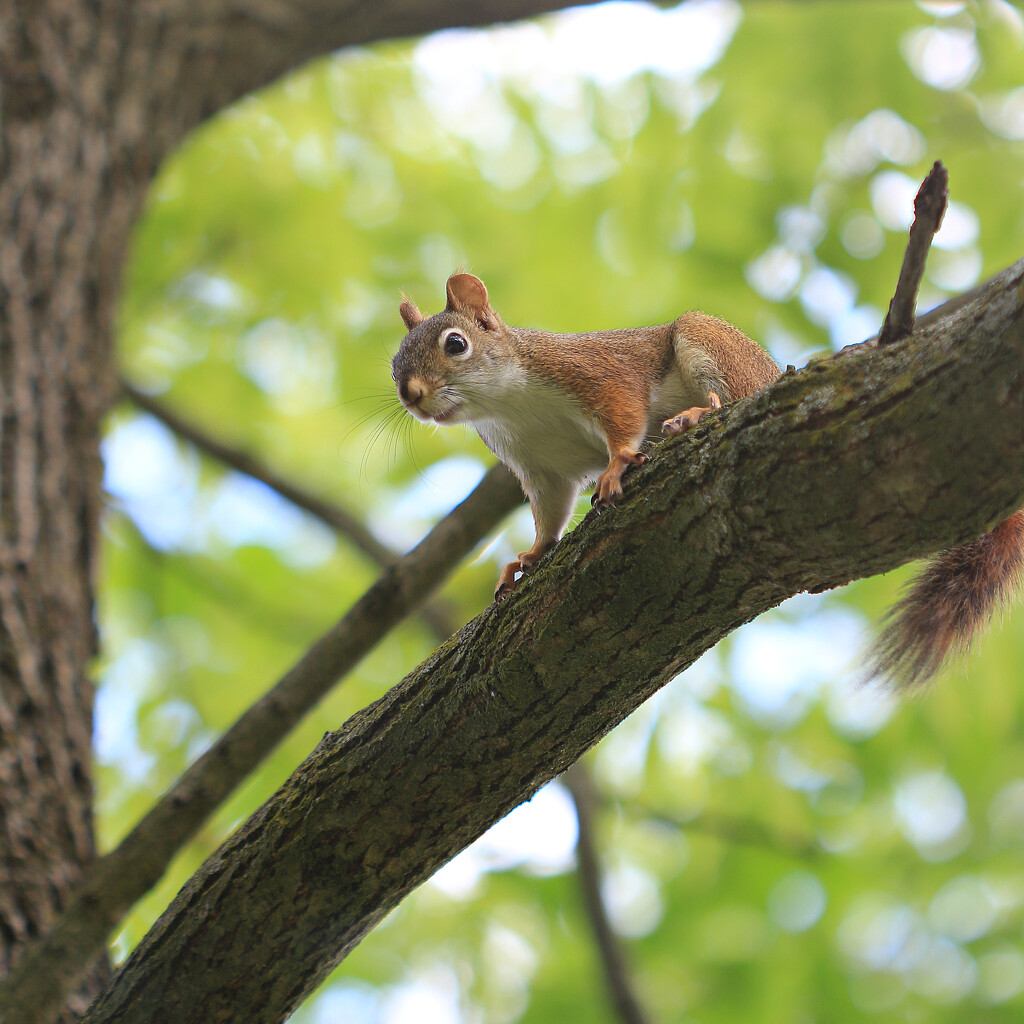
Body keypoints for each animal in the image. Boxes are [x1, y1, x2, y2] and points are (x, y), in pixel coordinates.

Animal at [391, 272, 1024, 688]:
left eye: (456, 344)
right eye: (394, 364)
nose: (412, 396)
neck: (508, 405)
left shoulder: (597, 376)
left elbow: (623, 422)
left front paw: (617, 467)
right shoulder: (538, 468)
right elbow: (549, 517)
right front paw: (528, 558)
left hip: (710, 348)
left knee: (725, 400)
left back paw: (694, 417)